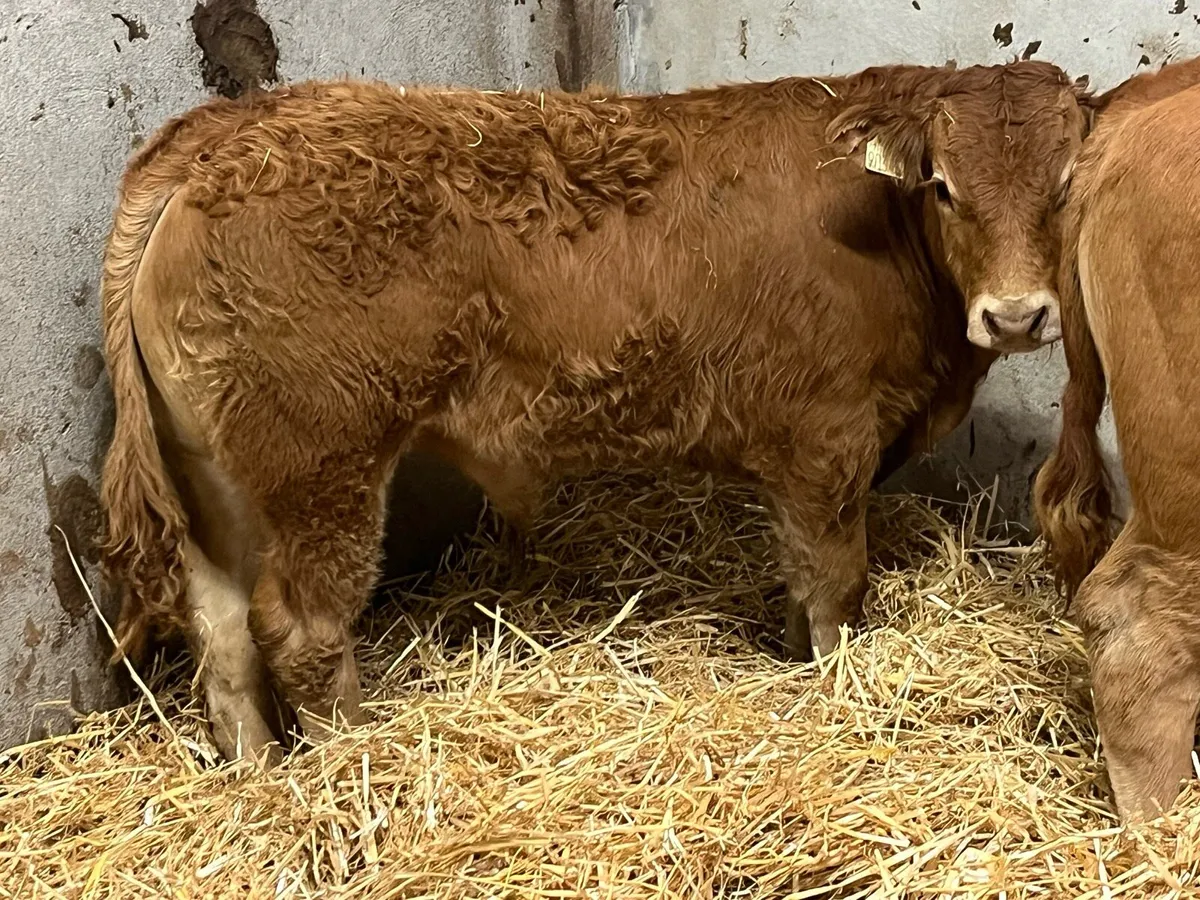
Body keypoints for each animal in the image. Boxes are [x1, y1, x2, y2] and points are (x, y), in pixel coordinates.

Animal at [101, 62, 1087, 764]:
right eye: (945, 186)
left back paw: (260, 776)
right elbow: (836, 587)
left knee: (221, 630)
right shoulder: (829, 438)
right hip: (323, 466)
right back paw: (356, 765)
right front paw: (837, 688)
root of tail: (230, 129)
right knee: (300, 630)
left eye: (1068, 183)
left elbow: (801, 578)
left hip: (214, 475)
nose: (1014, 315)